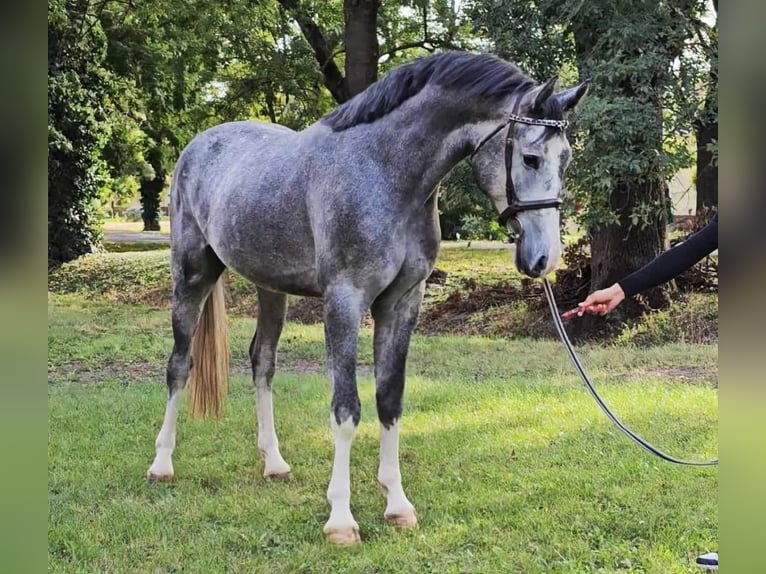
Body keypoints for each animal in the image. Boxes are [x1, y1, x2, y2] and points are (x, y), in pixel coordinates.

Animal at [150, 51, 592, 548]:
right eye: (531, 158)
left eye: (566, 158)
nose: (544, 257)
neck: (384, 173)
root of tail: (200, 144)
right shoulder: (344, 302)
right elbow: (346, 410)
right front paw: (341, 519)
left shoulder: (402, 305)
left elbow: (389, 400)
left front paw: (397, 504)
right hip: (192, 275)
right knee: (179, 364)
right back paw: (162, 464)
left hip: (271, 289)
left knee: (262, 362)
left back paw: (274, 462)